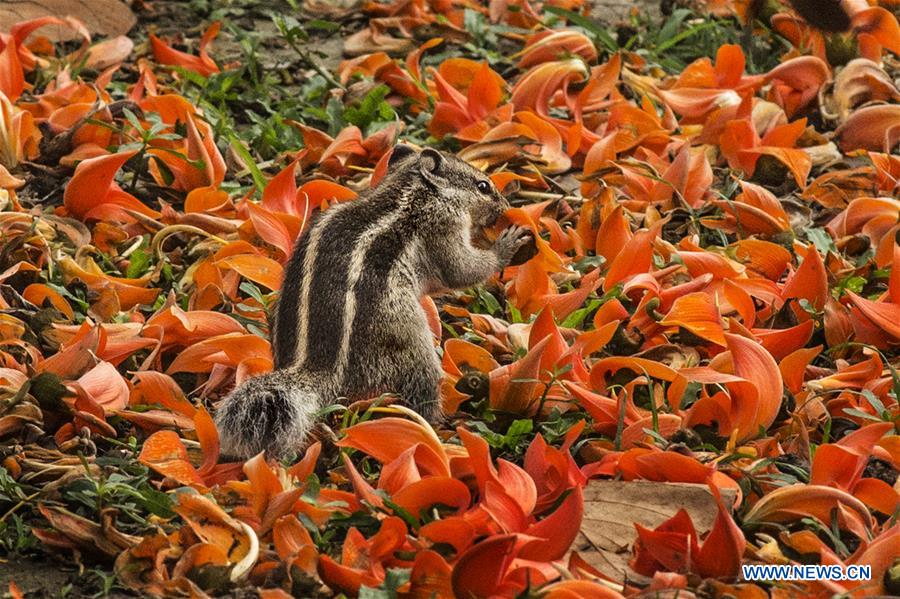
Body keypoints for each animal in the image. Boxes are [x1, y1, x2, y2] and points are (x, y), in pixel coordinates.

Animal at [216, 148, 536, 458]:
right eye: (483, 187)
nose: (505, 206)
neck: (410, 191)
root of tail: (317, 368)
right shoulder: (444, 228)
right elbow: (462, 269)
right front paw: (505, 246)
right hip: (407, 344)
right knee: (422, 391)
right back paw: (439, 426)